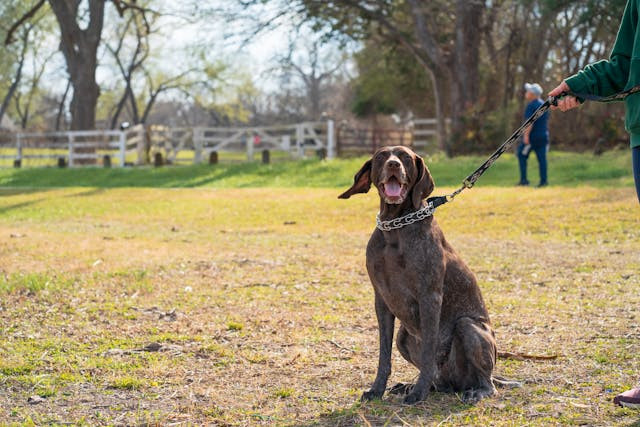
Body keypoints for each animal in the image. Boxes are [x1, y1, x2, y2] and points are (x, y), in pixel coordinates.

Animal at [338, 146, 498, 404]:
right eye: (381, 156)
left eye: (405, 156)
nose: (393, 165)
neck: (395, 226)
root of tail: (456, 384)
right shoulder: (381, 301)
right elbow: (384, 355)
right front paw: (377, 390)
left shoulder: (429, 297)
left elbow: (428, 349)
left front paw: (418, 393)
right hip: (403, 337)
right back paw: (413, 385)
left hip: (469, 326)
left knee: (486, 381)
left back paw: (475, 391)